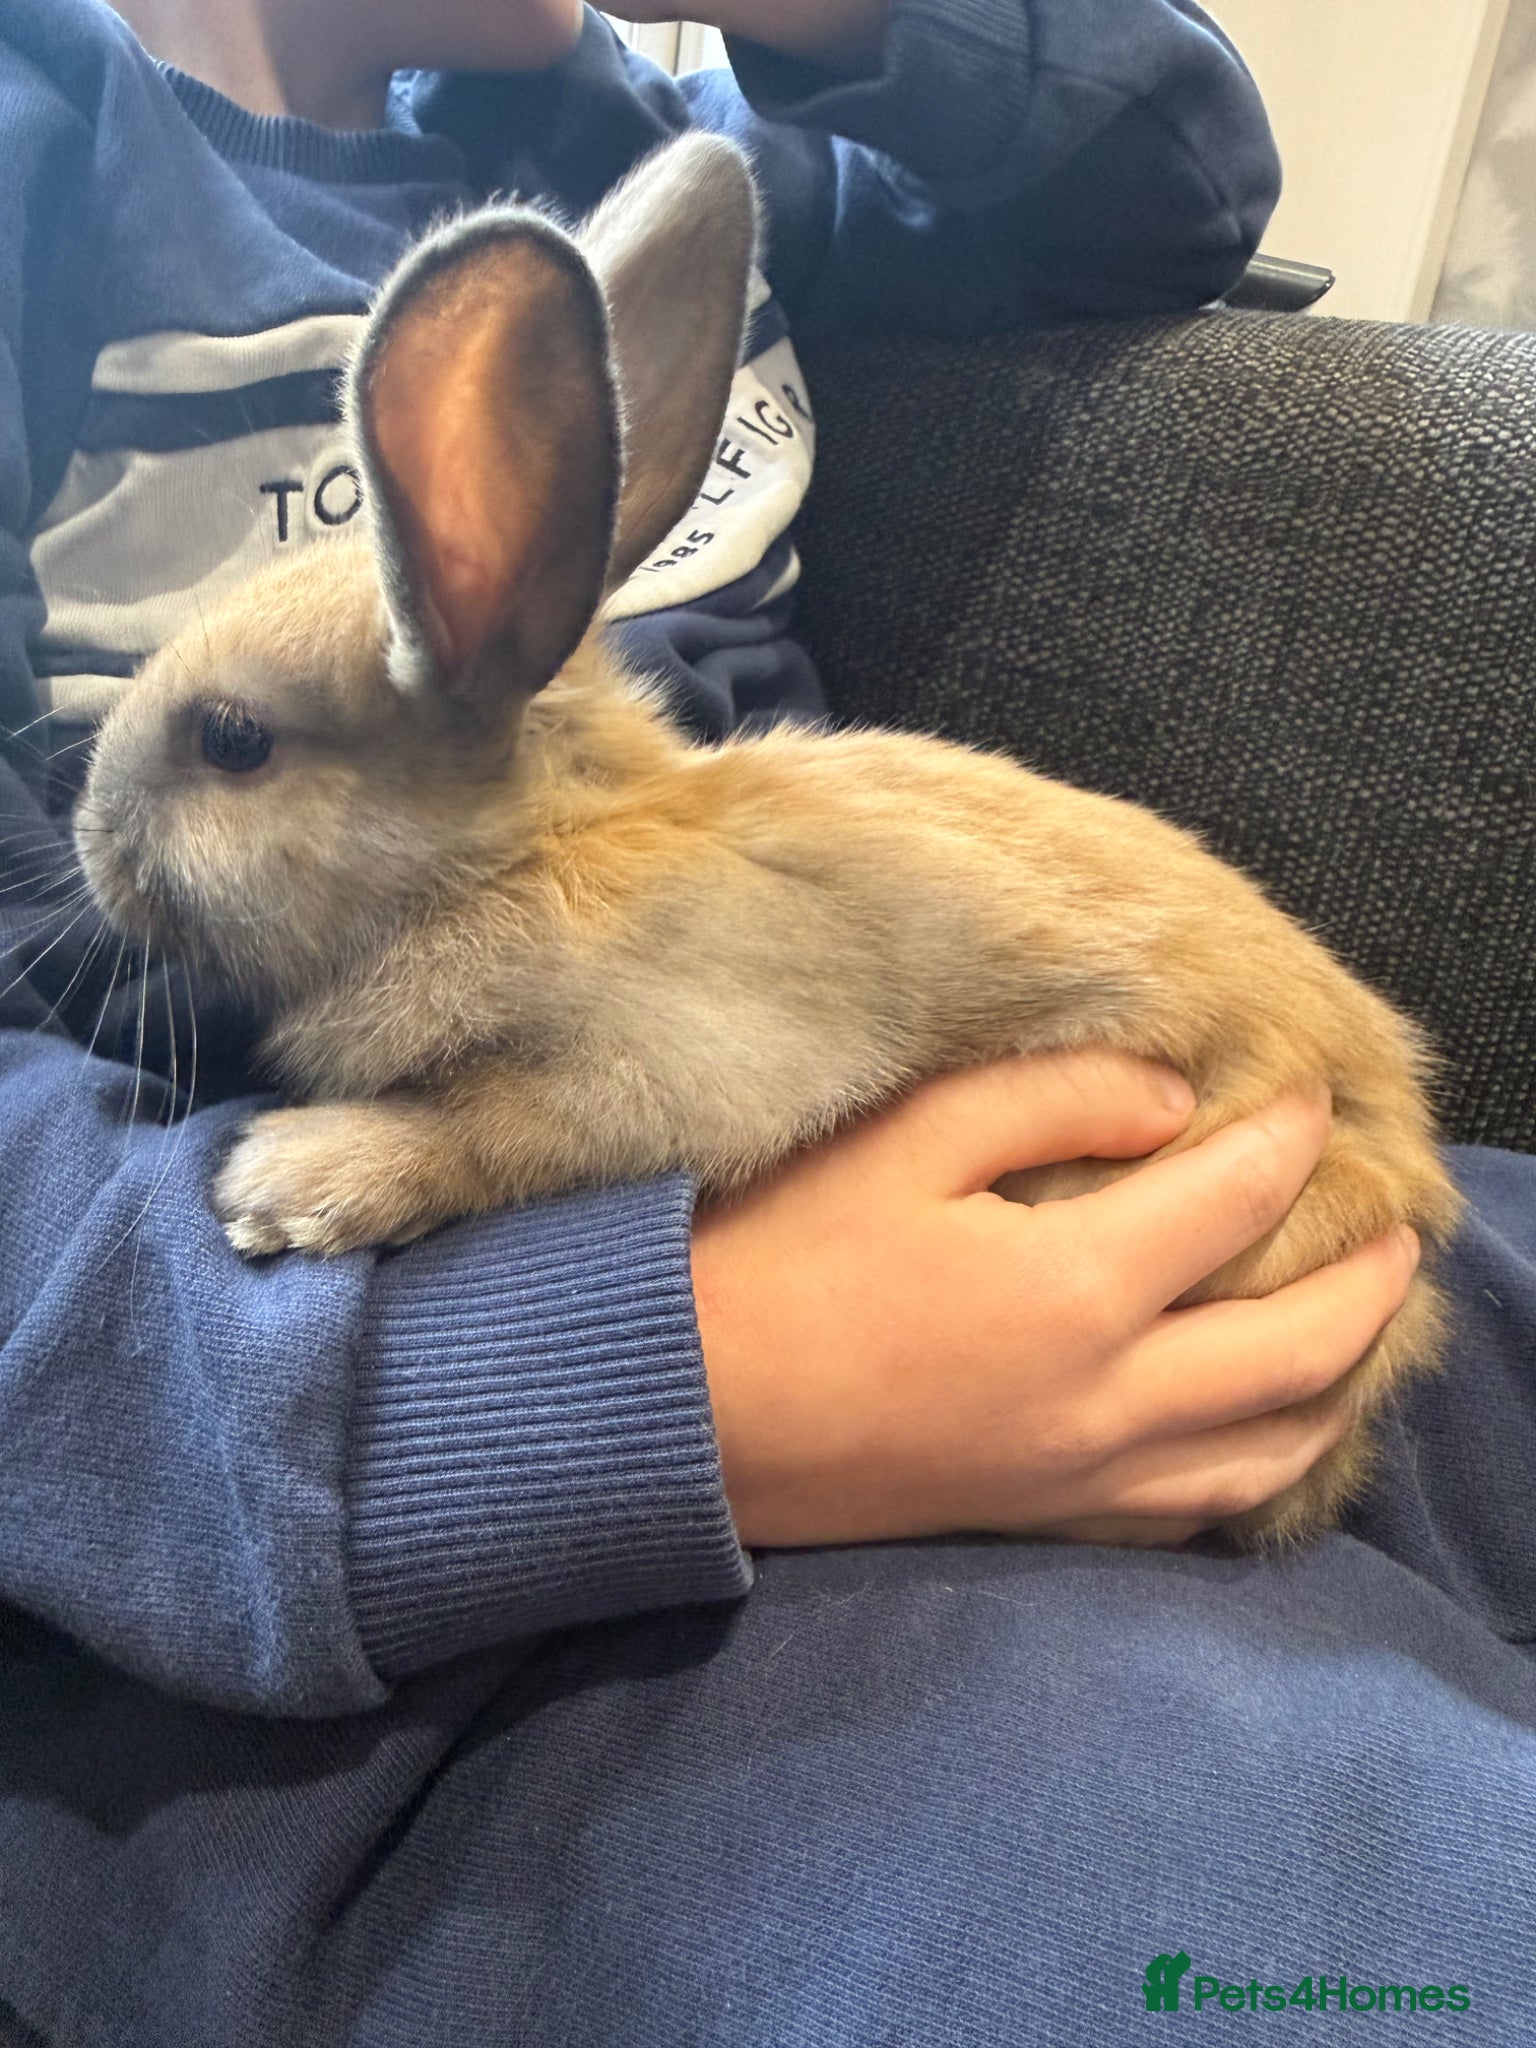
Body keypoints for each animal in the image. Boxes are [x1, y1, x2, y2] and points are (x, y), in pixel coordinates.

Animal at [75, 132, 1462, 1549]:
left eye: (233, 739)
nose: (91, 839)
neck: (528, 855)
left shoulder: (660, 1070)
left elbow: (492, 1137)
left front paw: (285, 1182)